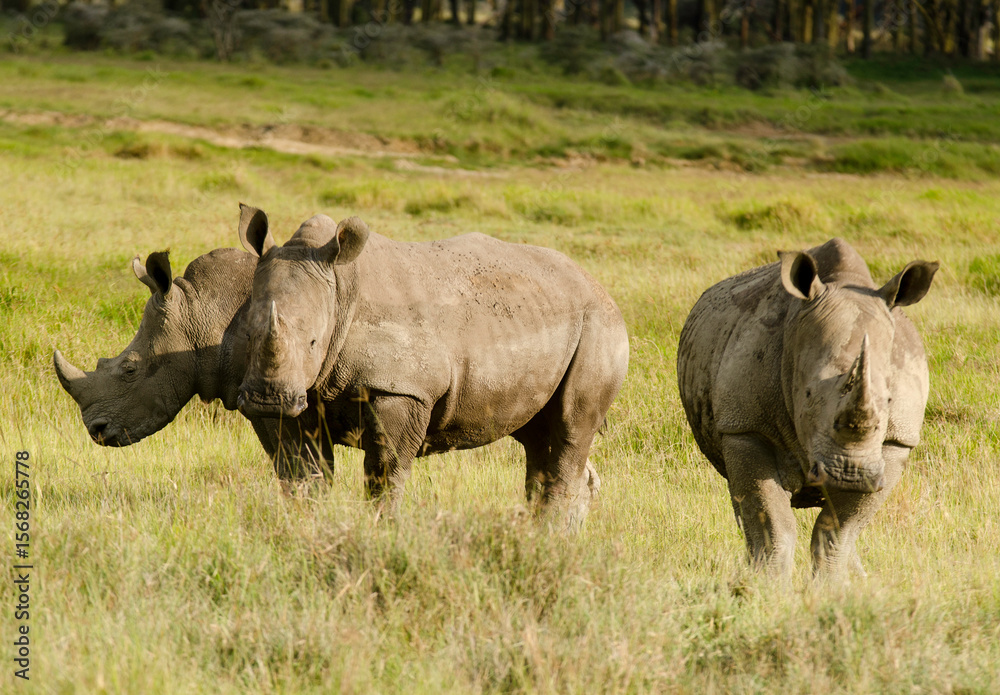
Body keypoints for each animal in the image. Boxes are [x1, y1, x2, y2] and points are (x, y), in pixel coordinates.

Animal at [234, 205, 630, 523]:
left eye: (314, 342)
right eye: (248, 335)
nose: (266, 401)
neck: (341, 291)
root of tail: (600, 287)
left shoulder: (404, 390)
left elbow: (384, 472)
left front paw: (381, 529)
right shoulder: (306, 392)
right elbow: (305, 471)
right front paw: (308, 525)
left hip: (599, 324)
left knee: (569, 428)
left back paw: (547, 533)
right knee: (537, 434)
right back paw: (539, 532)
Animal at [677, 238, 938, 577]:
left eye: (890, 399)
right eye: (808, 393)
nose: (849, 473)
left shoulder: (896, 441)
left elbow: (839, 528)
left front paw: (832, 585)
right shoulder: (745, 427)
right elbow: (772, 521)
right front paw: (767, 582)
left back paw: (860, 578)